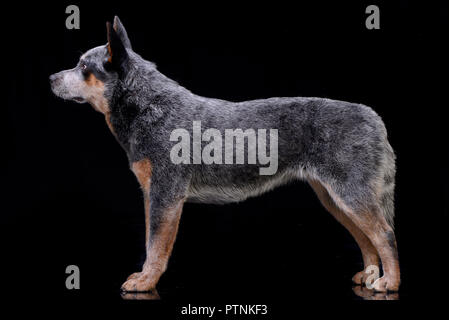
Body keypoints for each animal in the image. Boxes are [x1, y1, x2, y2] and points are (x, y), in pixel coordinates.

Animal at [49, 16, 400, 292]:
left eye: (83, 66)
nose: (51, 78)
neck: (148, 106)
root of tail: (374, 118)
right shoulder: (151, 195)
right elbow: (150, 241)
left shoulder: (166, 195)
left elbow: (156, 245)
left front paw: (146, 282)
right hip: (334, 198)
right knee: (366, 238)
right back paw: (369, 275)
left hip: (350, 195)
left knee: (385, 234)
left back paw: (389, 283)